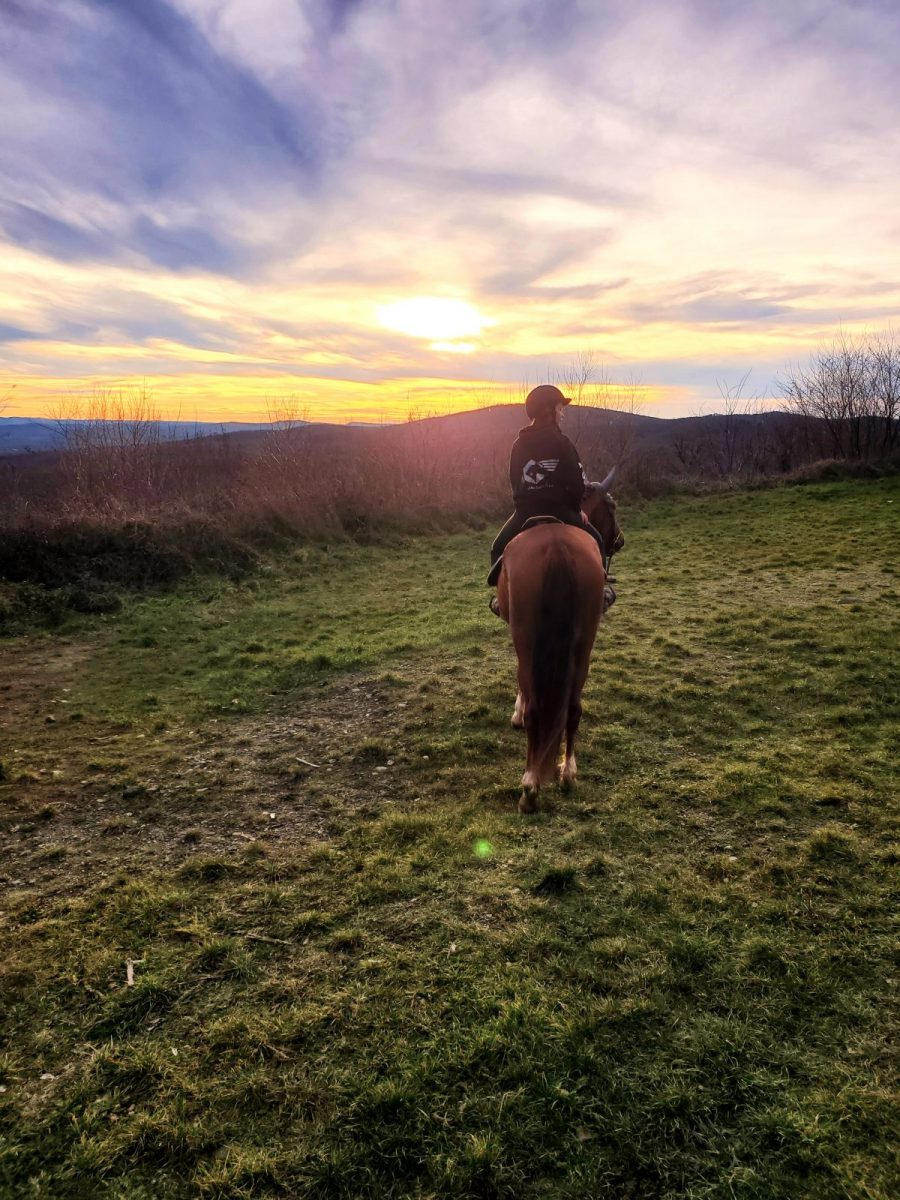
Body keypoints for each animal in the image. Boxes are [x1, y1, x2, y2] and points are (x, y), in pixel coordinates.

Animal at [496, 468, 624, 816]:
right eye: (612, 507)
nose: (619, 540)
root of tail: (556, 547)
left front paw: (515, 712)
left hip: (528, 639)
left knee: (536, 709)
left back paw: (530, 787)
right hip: (584, 646)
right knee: (573, 707)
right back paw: (567, 773)